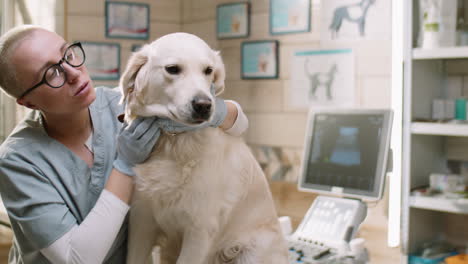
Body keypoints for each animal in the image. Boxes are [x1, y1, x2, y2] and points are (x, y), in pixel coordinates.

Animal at [119, 33, 288, 264]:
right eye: (173, 69)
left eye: (208, 70)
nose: (204, 105)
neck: (173, 142)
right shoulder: (141, 221)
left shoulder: (199, 230)